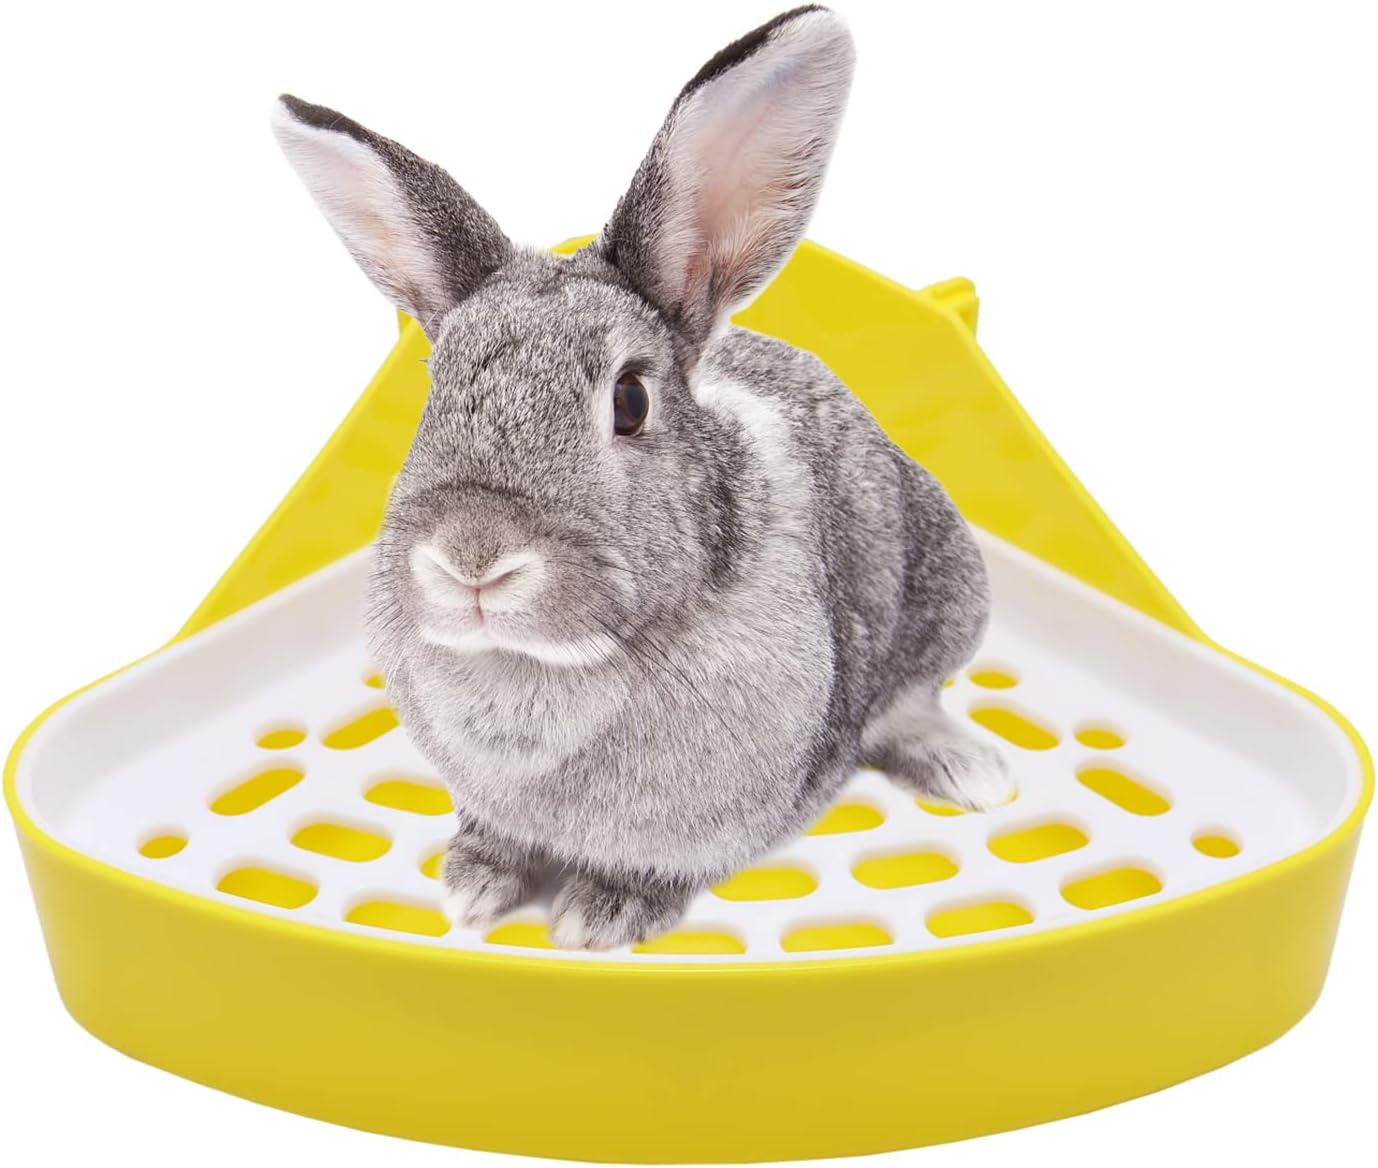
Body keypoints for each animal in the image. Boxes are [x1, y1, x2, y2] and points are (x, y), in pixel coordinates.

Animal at [272, 4, 1013, 951]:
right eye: (436, 389)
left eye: (630, 399)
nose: (473, 557)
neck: (540, 664)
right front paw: (474, 885)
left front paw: (600, 916)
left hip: (948, 593)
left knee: (915, 696)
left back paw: (969, 769)